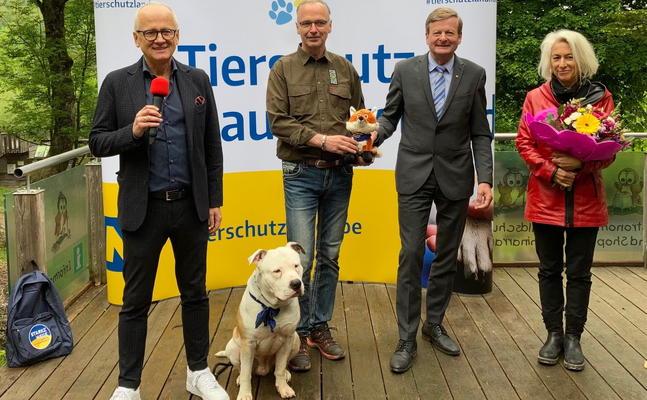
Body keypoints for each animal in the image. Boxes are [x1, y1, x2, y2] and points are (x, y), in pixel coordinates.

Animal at [216, 242, 306, 398]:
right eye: (277, 271)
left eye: (296, 265)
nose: (296, 283)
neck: (273, 307)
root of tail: (263, 368)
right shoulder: (248, 344)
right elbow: (246, 374)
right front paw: (245, 394)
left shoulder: (287, 339)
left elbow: (280, 368)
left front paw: (283, 388)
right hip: (232, 348)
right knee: (242, 369)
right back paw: (239, 378)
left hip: (295, 341)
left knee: (281, 365)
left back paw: (286, 374)